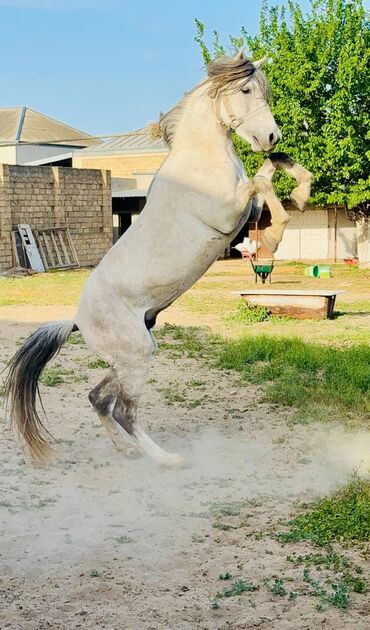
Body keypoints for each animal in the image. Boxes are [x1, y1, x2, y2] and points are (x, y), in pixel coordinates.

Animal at [5, 50, 312, 470]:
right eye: (246, 90)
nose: (269, 136)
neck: (199, 163)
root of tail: (76, 320)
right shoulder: (231, 214)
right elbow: (263, 183)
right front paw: (280, 229)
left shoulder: (245, 212)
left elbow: (274, 167)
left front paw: (301, 189)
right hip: (136, 355)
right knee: (124, 410)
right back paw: (167, 460)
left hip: (131, 355)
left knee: (98, 398)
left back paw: (127, 452)